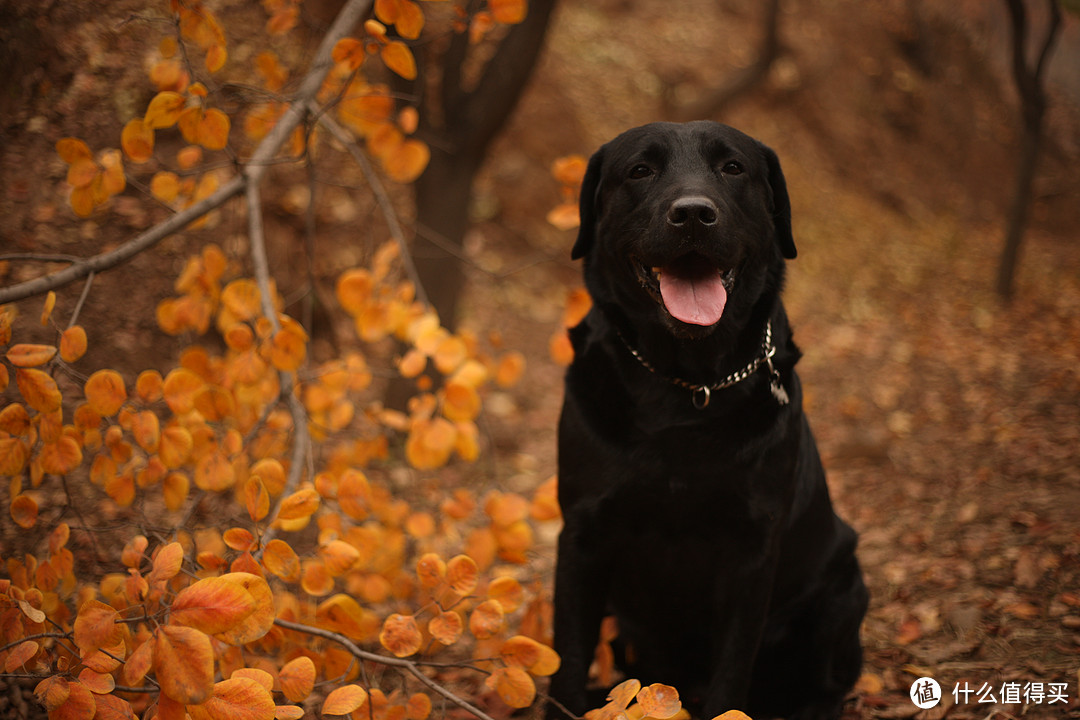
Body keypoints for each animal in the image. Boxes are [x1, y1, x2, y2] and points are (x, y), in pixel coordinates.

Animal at [548, 124, 868, 720]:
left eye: (733, 168)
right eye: (640, 171)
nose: (694, 213)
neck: (684, 386)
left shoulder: (751, 549)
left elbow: (731, 673)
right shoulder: (582, 534)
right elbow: (568, 658)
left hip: (844, 588)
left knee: (825, 685)